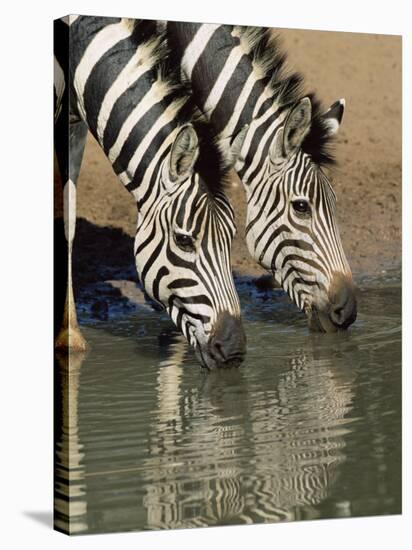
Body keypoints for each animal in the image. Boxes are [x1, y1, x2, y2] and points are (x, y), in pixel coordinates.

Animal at [54, 17, 248, 370]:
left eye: (231, 238)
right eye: (183, 240)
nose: (234, 351)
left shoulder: (75, 125)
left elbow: (69, 224)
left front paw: (70, 337)